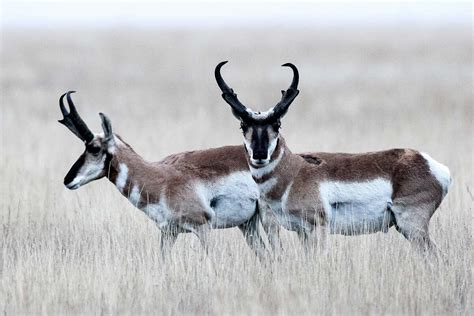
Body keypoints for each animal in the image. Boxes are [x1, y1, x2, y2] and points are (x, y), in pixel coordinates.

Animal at [57, 90, 278, 256]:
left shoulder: (202, 228)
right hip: (248, 225)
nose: (67, 180)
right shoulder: (168, 233)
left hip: (268, 220)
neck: (160, 178)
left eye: (94, 148)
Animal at [215, 61, 452, 256]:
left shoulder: (318, 228)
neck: (294, 172)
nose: (259, 155)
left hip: (412, 226)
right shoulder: (302, 232)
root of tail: (432, 165)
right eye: (243, 125)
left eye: (278, 124)